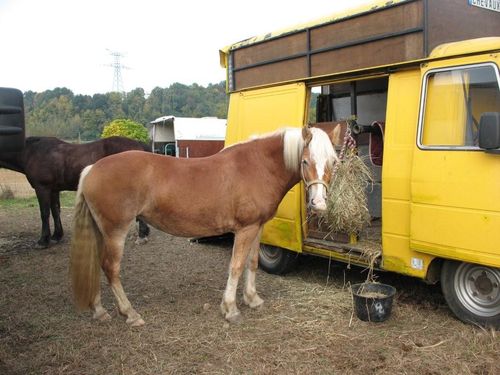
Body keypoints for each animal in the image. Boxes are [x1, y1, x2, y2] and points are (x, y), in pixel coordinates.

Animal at [0, 137, 150, 248]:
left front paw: (43, 240)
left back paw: (141, 236)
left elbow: (44, 213)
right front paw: (56, 236)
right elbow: (55, 211)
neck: (32, 152)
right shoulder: (53, 190)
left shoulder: (42, 188)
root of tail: (139, 145)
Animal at [70, 127, 338, 326]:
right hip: (116, 231)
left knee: (96, 264)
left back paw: (99, 311)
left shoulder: (257, 227)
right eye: (305, 161)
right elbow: (236, 266)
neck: (257, 166)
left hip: (101, 232)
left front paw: (252, 299)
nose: (319, 203)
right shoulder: (245, 230)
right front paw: (230, 309)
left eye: (333, 162)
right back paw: (130, 314)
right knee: (111, 268)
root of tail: (91, 169)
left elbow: (251, 263)